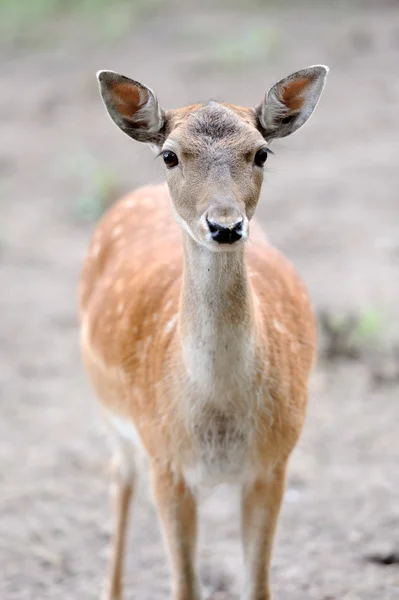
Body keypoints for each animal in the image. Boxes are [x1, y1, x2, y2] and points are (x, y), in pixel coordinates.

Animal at [79, 65, 330, 600]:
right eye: (170, 154)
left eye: (261, 152)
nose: (225, 226)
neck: (218, 417)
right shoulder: (167, 464)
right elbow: (184, 586)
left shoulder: (274, 461)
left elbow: (258, 585)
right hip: (111, 412)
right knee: (119, 477)